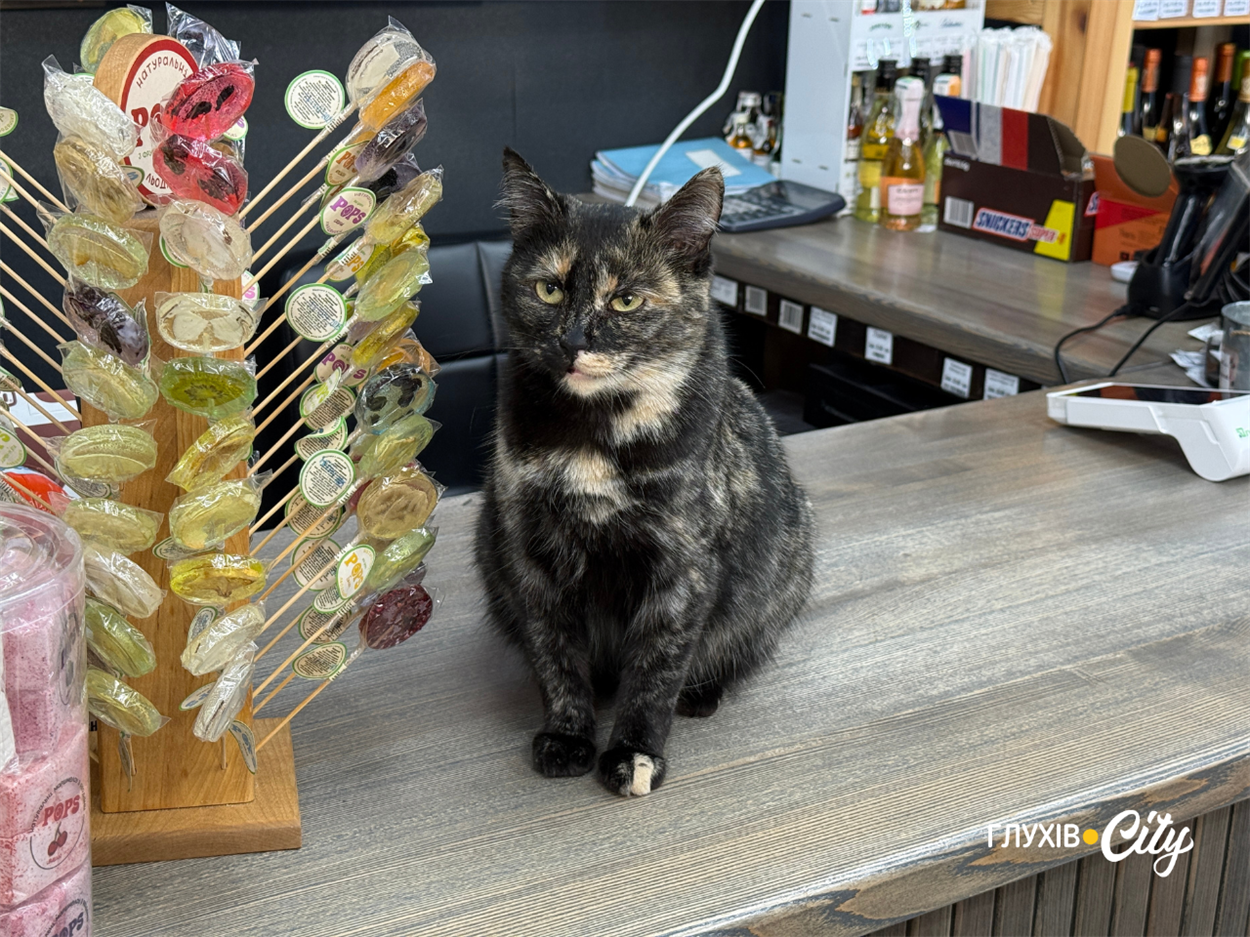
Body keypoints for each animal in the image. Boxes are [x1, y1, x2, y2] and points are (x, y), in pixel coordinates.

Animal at [475, 148, 814, 797]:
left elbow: (656, 669)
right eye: (548, 289)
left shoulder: (685, 565)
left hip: (786, 570)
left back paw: (701, 695)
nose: (572, 341)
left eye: (625, 301)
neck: (594, 432)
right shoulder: (530, 553)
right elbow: (556, 655)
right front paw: (567, 736)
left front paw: (634, 754)